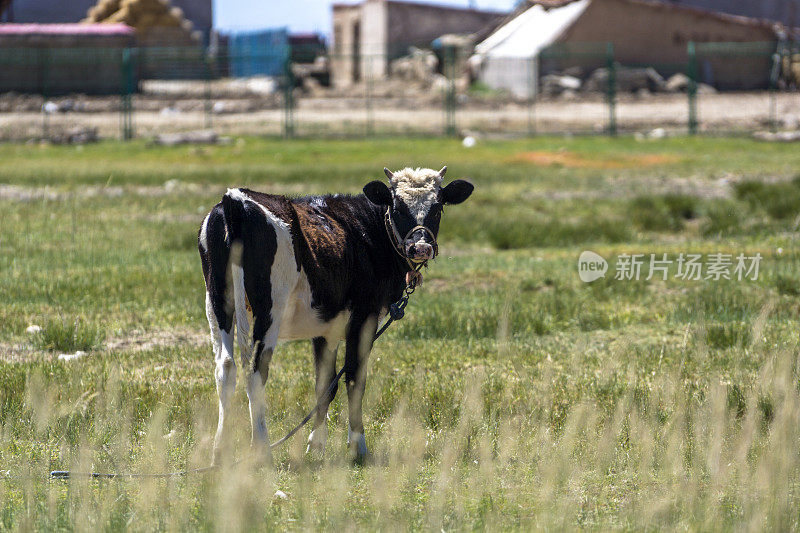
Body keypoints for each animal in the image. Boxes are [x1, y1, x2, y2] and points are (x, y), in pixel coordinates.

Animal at [199, 166, 472, 462]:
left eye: (438, 207)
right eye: (397, 207)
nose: (420, 248)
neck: (364, 232)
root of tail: (235, 200)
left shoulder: (325, 327)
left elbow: (325, 384)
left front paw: (316, 443)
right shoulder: (364, 318)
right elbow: (354, 379)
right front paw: (357, 446)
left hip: (218, 304)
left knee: (226, 368)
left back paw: (220, 451)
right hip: (268, 311)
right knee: (256, 370)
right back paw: (262, 450)